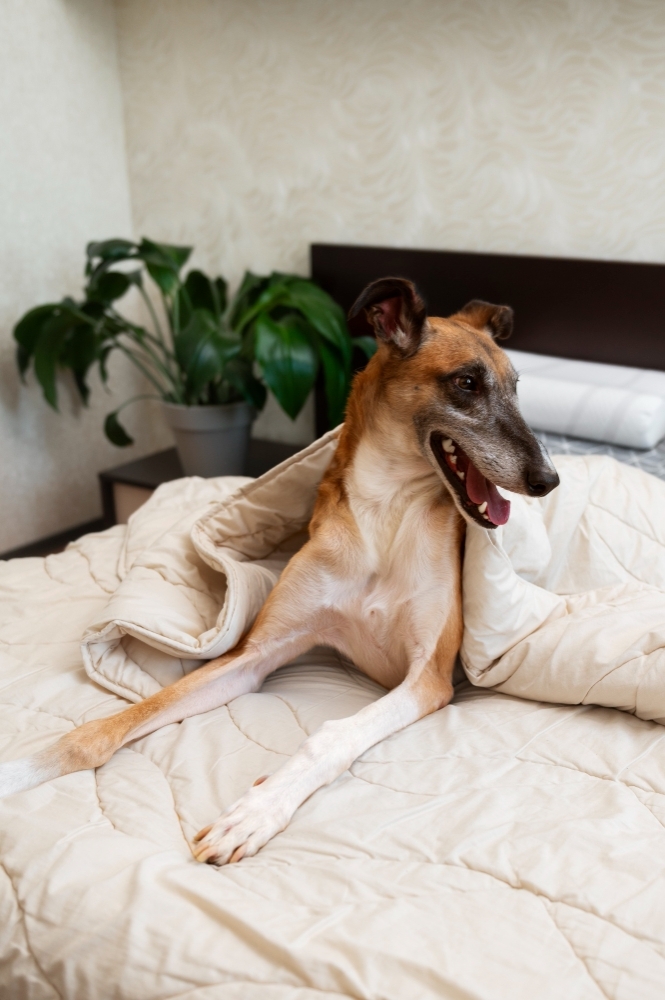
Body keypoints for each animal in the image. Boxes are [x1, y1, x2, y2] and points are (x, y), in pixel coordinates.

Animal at [0, 278, 556, 864]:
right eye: (467, 383)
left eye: (517, 388)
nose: (549, 480)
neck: (386, 514)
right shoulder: (252, 657)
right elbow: (103, 729)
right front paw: (14, 774)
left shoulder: (426, 679)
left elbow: (332, 735)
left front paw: (256, 812)